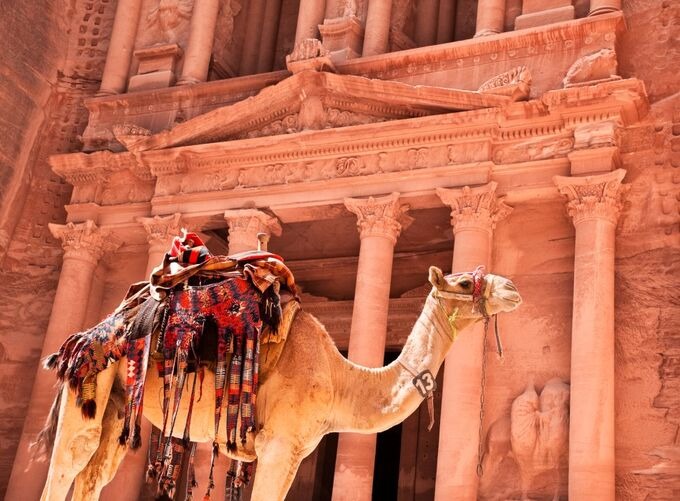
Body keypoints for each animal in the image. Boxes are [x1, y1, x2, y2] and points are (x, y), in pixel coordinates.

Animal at [38, 264, 520, 498]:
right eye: (463, 281)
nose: (512, 288)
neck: (341, 380)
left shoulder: (293, 451)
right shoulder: (278, 445)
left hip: (121, 408)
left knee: (93, 476)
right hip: (91, 381)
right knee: (67, 464)